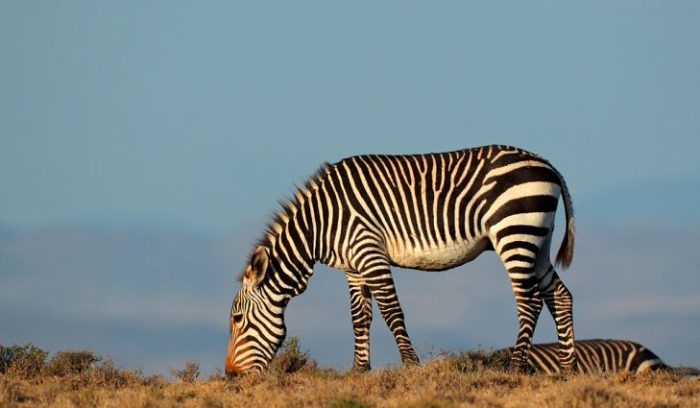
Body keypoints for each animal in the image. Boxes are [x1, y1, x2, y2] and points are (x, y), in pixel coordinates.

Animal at [227, 146, 576, 376]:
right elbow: (359, 317)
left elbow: (392, 312)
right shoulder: (353, 267)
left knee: (529, 301)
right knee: (560, 296)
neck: (320, 223)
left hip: (514, 233)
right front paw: (359, 370)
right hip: (537, 241)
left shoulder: (369, 251)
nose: (231, 375)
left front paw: (410, 365)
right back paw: (568, 368)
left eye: (237, 319)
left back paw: (517, 367)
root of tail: (546, 163)